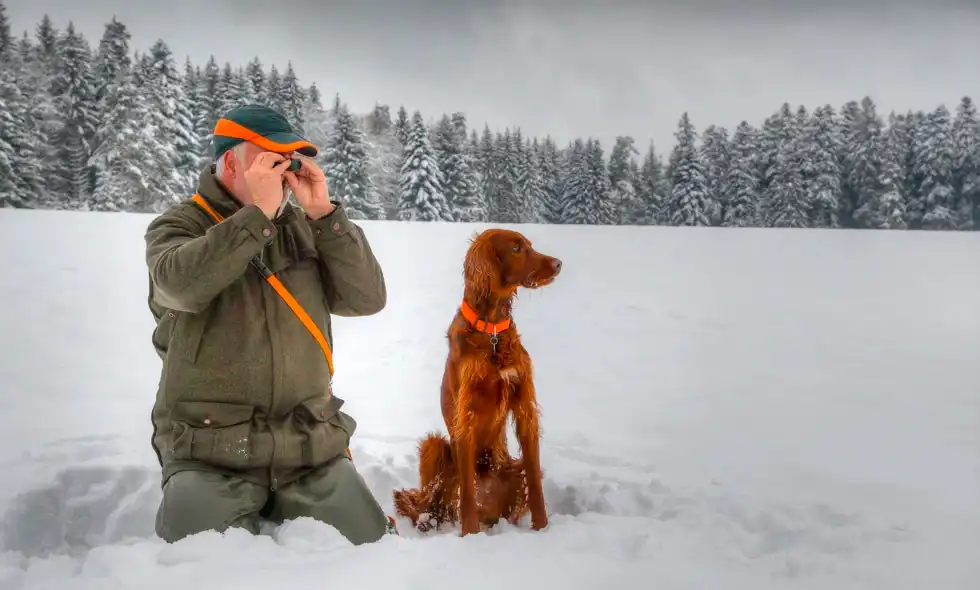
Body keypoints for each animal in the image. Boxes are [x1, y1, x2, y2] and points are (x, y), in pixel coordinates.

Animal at [390, 229, 560, 540]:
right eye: (516, 248)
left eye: (529, 245)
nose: (558, 264)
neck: (491, 331)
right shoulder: (464, 417)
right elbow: (467, 492)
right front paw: (470, 536)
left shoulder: (525, 408)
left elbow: (536, 482)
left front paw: (542, 529)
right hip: (436, 447)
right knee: (427, 505)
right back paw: (429, 522)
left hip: (511, 469)